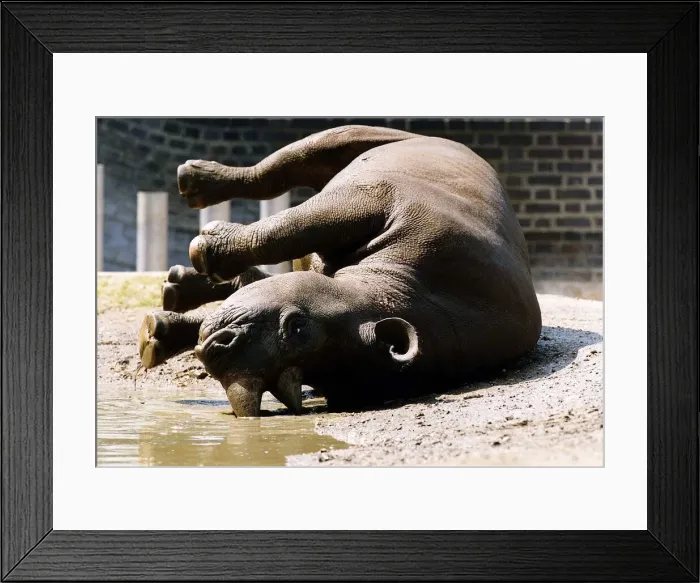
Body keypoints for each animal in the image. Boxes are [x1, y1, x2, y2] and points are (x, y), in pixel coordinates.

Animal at [137, 125, 542, 417]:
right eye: (297, 325)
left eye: (294, 386)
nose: (221, 357)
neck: (394, 288)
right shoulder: (380, 201)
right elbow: (293, 227)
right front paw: (204, 248)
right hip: (405, 149)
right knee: (304, 156)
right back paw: (193, 186)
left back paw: (165, 313)